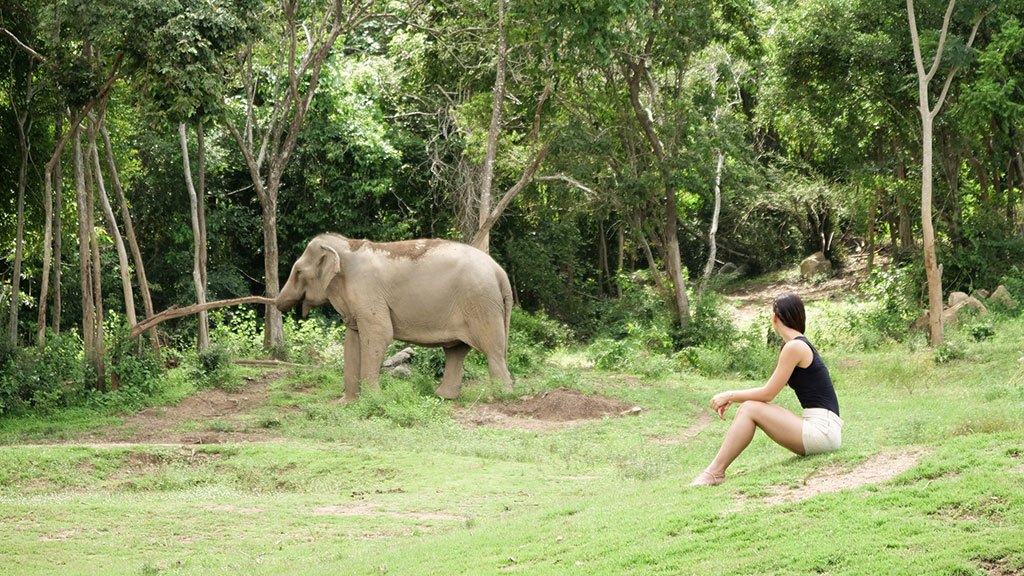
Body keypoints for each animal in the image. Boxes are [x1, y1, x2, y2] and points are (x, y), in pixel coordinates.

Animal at [276, 233, 514, 401]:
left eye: (298, 272)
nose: (279, 305)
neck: (349, 246)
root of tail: (500, 273)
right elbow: (352, 340)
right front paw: (346, 403)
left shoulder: (367, 292)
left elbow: (379, 334)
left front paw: (373, 400)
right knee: (456, 351)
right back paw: (443, 397)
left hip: (481, 303)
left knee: (492, 350)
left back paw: (498, 397)